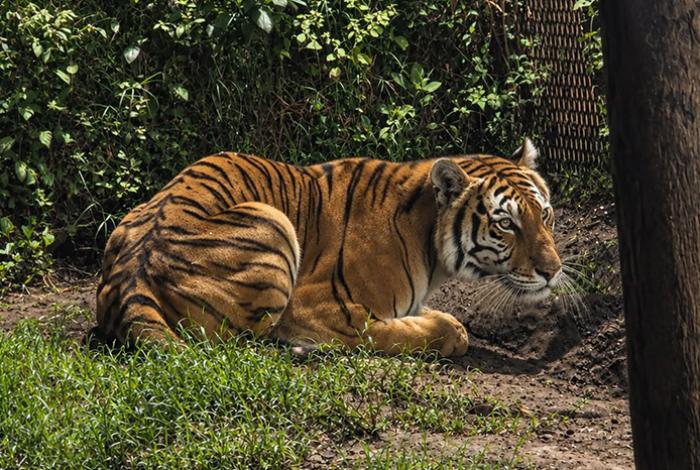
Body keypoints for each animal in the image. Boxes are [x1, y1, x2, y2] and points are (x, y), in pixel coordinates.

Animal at [95, 138, 561, 357]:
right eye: (506, 224)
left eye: (545, 214)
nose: (553, 271)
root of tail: (133, 278)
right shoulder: (321, 307)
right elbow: (420, 331)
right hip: (273, 224)